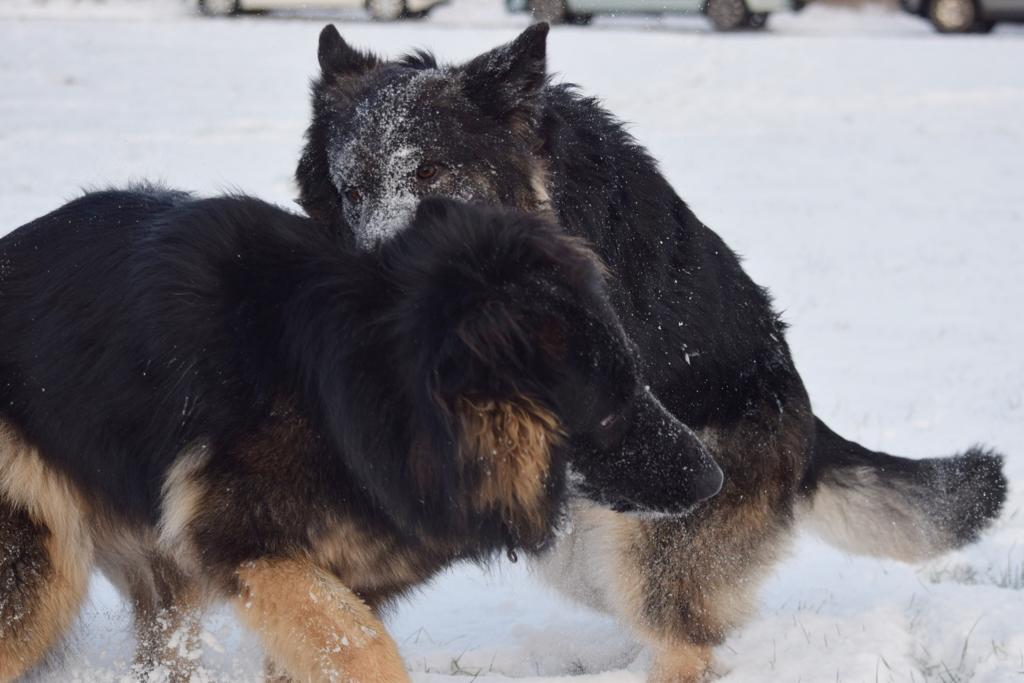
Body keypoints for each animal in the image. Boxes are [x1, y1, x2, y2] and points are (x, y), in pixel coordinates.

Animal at [0, 188, 720, 683]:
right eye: (611, 410)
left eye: (637, 378)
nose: (715, 479)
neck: (372, 398)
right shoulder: (254, 550)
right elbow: (365, 646)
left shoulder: (320, 584)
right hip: (41, 575)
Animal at [294, 24, 1007, 679]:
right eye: (352, 190)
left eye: (430, 173)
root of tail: (806, 423)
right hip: (595, 536)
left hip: (650, 535)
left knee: (683, 634)